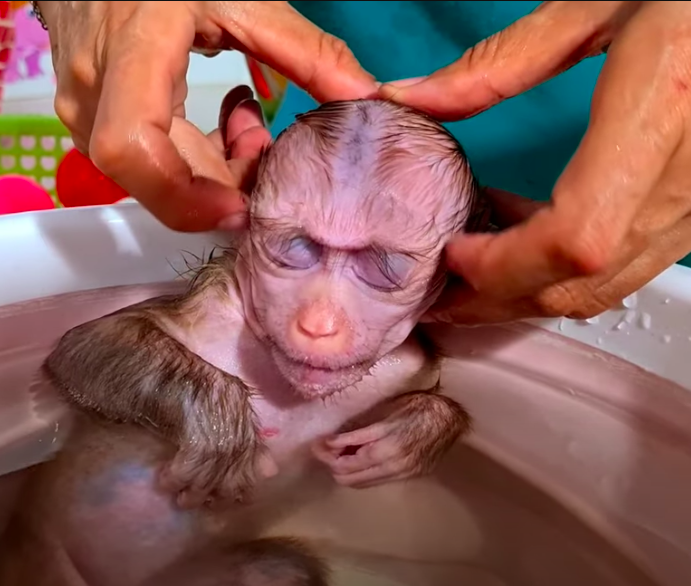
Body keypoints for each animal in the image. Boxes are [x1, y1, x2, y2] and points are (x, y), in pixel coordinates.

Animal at [0, 96, 486, 586]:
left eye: (381, 267)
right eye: (298, 248)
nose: (318, 323)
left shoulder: (404, 362)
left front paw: (413, 432)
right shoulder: (214, 302)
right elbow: (82, 348)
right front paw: (219, 419)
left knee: (280, 569)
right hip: (42, 560)